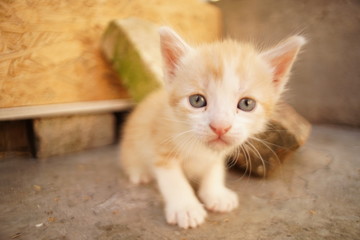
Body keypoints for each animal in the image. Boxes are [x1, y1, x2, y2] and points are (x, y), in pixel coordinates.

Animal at [119, 27, 306, 229]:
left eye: (247, 104)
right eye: (197, 100)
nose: (220, 127)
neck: (199, 147)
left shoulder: (217, 154)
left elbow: (214, 169)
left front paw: (216, 194)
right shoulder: (161, 144)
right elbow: (173, 180)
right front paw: (186, 208)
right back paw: (140, 173)